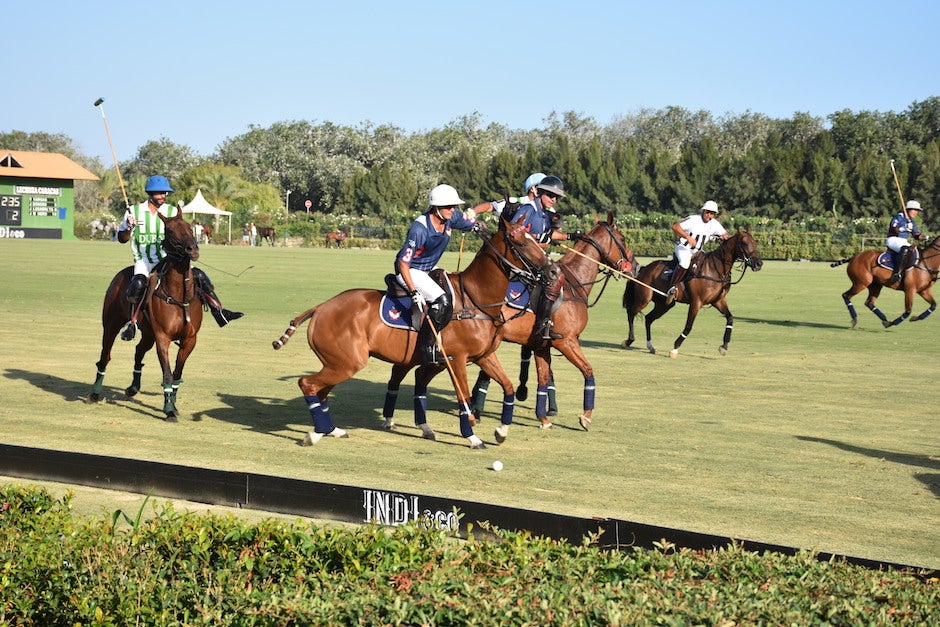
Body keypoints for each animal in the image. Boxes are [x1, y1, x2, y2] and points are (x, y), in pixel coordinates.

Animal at [86, 212, 204, 422]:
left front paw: (173, 404)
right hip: (111, 325)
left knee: (138, 351)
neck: (178, 294)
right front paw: (169, 410)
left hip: (148, 333)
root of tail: (121, 273)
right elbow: (167, 374)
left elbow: (177, 374)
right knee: (105, 356)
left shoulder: (190, 339)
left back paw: (133, 388)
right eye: (170, 231)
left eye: (190, 227)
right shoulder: (163, 338)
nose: (193, 249)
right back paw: (95, 393)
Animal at [268, 218, 556, 448]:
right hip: (346, 362)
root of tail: (319, 308)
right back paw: (316, 433)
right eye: (522, 243)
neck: (477, 299)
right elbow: (463, 395)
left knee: (321, 391)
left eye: (536, 239)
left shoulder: (484, 356)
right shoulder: (457, 358)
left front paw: (501, 431)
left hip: (338, 362)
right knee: (308, 384)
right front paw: (473, 437)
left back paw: (328, 430)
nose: (553, 271)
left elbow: (507, 387)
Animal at [382, 211, 640, 436]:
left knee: (402, 371)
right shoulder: (566, 341)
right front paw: (585, 417)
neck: (574, 283)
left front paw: (543, 418)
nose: (635, 267)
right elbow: (588, 371)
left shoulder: (541, 345)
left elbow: (543, 379)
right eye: (623, 239)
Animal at [624, 229, 764, 358]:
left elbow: (730, 318)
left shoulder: (718, 301)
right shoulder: (696, 302)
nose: (759, 263)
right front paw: (675, 348)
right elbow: (689, 326)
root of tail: (643, 269)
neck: (715, 269)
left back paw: (651, 346)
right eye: (745, 243)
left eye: (755, 242)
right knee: (631, 312)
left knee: (648, 318)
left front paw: (724, 346)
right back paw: (629, 340)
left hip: (664, 304)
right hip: (644, 298)